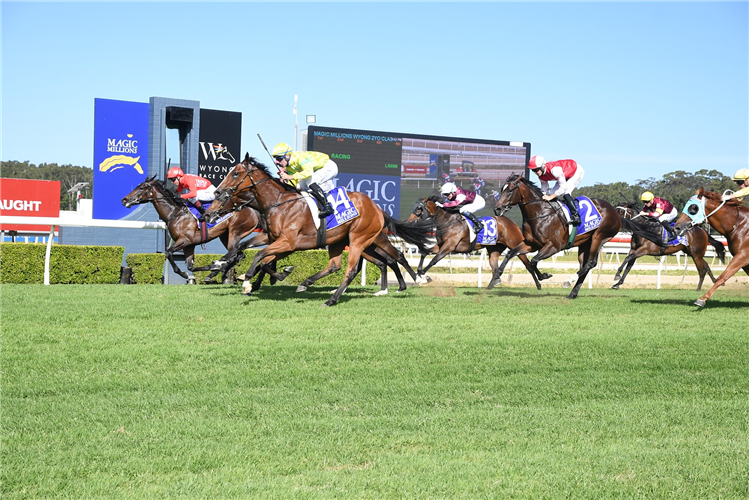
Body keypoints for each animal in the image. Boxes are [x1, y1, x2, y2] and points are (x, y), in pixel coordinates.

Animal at [120, 176, 286, 286]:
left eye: (142, 187)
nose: (124, 199)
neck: (176, 213)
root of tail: (251, 208)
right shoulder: (189, 245)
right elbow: (190, 266)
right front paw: (193, 274)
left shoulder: (184, 240)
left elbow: (168, 253)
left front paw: (189, 273)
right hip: (225, 235)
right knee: (238, 256)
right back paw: (217, 273)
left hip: (236, 232)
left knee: (236, 255)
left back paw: (219, 271)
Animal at [207, 154, 436, 306]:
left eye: (236, 173)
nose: (217, 193)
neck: (278, 203)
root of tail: (377, 207)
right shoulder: (272, 237)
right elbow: (246, 249)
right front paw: (223, 264)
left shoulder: (288, 242)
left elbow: (261, 257)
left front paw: (248, 282)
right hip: (346, 241)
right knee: (341, 265)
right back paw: (308, 284)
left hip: (360, 239)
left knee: (363, 265)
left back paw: (334, 299)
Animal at [406, 195, 548, 290]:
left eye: (418, 209)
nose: (408, 222)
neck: (448, 221)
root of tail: (511, 222)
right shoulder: (441, 245)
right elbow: (425, 253)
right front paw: (419, 273)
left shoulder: (449, 246)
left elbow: (434, 260)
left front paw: (424, 275)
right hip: (494, 250)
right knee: (495, 268)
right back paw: (492, 285)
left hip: (516, 244)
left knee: (528, 265)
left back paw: (539, 284)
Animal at [490, 174, 620, 298]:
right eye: (502, 189)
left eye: (510, 190)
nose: (497, 209)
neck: (541, 213)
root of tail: (614, 211)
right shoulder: (531, 244)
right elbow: (511, 253)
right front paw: (497, 275)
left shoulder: (554, 246)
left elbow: (533, 260)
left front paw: (544, 275)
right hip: (585, 243)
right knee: (585, 265)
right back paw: (572, 293)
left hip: (598, 237)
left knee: (591, 263)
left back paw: (569, 280)